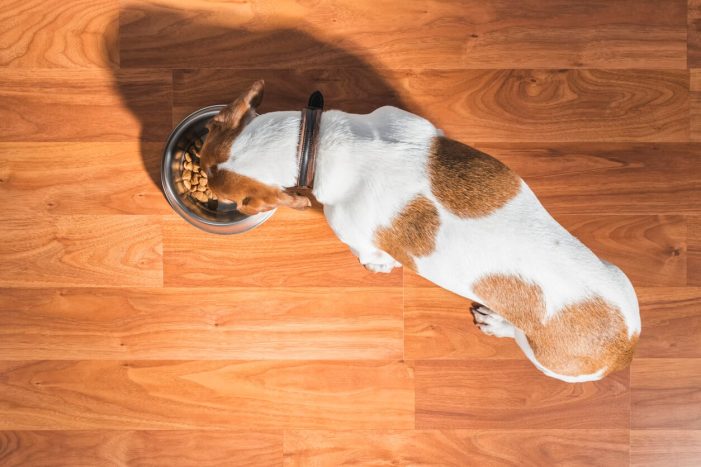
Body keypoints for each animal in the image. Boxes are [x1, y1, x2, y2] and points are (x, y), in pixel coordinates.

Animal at [198, 80, 640, 382]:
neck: (317, 147)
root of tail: (626, 346)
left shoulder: (352, 232)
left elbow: (370, 255)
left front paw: (379, 266)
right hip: (619, 273)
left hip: (543, 357)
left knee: (516, 337)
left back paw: (496, 323)